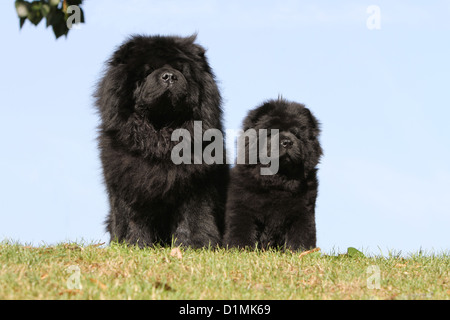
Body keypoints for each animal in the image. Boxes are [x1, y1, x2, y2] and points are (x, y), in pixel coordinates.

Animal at [95, 35, 229, 249]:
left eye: (181, 70)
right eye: (148, 71)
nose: (169, 76)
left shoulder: (196, 185)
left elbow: (194, 219)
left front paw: (194, 246)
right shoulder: (129, 183)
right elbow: (131, 220)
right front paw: (134, 245)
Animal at [223, 97, 322, 250]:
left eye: (297, 134)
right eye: (272, 133)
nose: (287, 142)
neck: (277, 181)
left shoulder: (303, 211)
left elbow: (302, 234)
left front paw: (301, 251)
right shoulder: (243, 207)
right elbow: (241, 230)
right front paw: (240, 248)